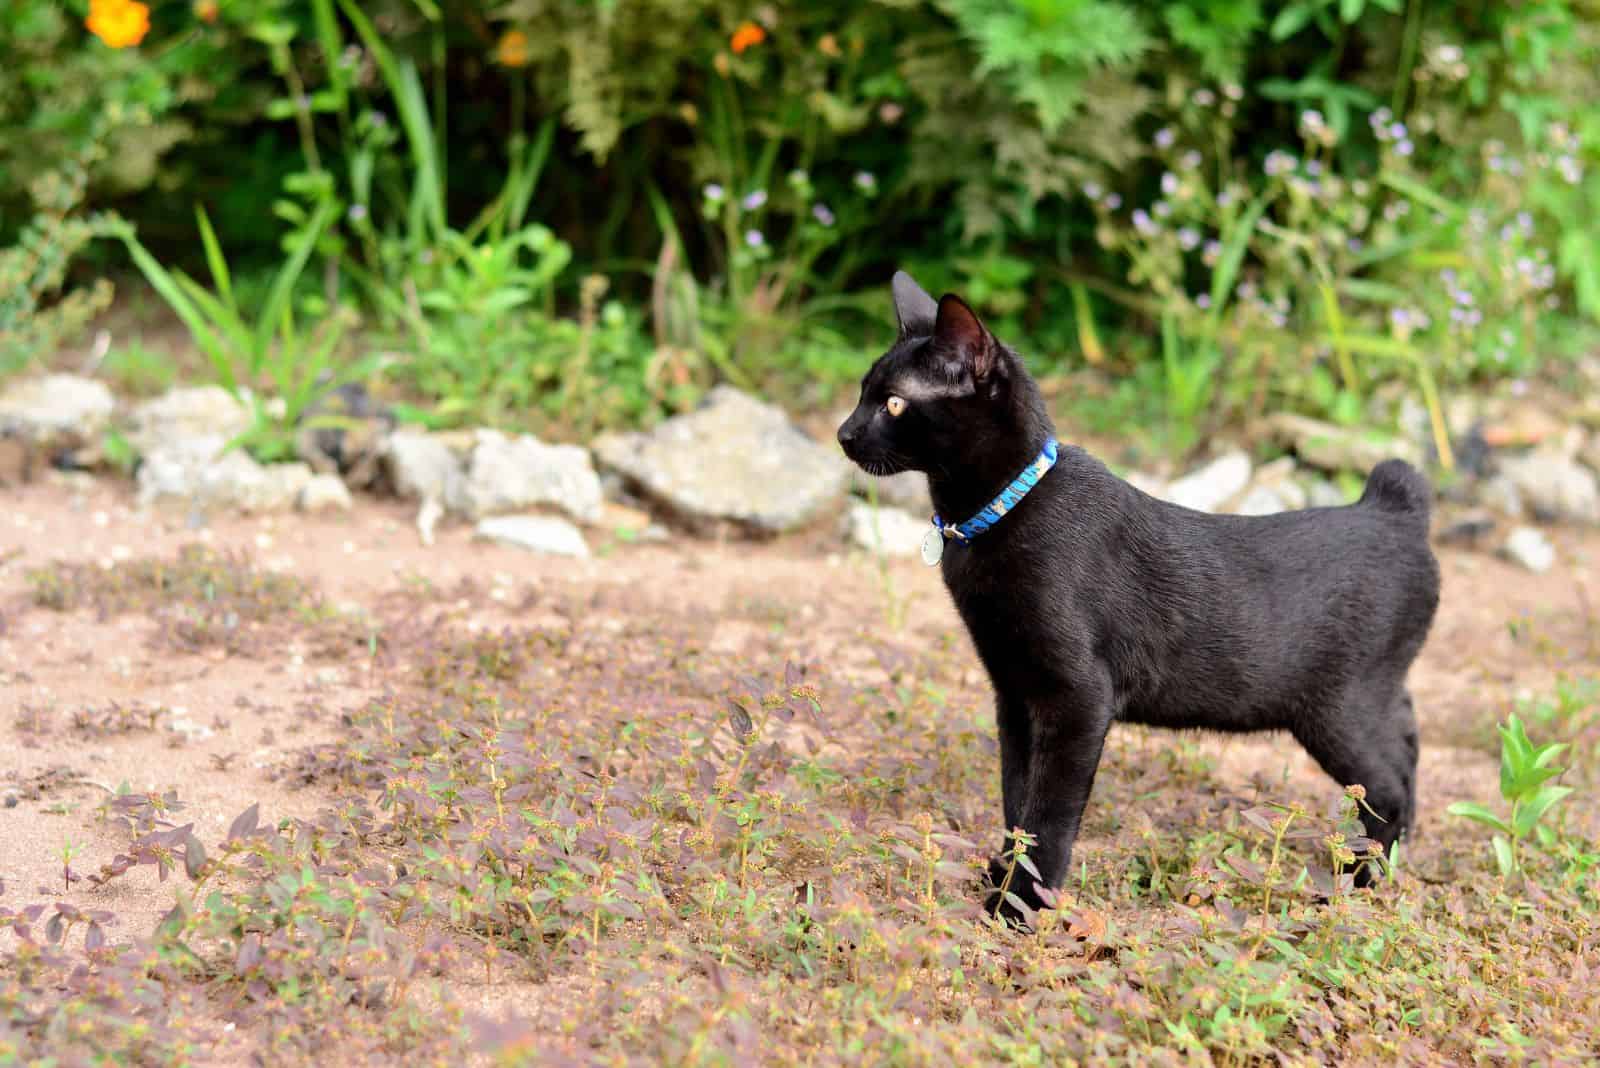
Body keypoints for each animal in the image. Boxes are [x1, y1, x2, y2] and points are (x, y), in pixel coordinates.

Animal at [838, 271, 1440, 914]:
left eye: (894, 403)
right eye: (863, 392)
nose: (843, 433)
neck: (1001, 511)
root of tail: (1392, 507)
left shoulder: (1078, 696)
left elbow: (1048, 813)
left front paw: (1020, 906)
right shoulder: (1014, 693)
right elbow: (1015, 796)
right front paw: (1000, 875)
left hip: (1338, 708)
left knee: (1387, 787)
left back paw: (1359, 883)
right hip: (1376, 694)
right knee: (1407, 744)